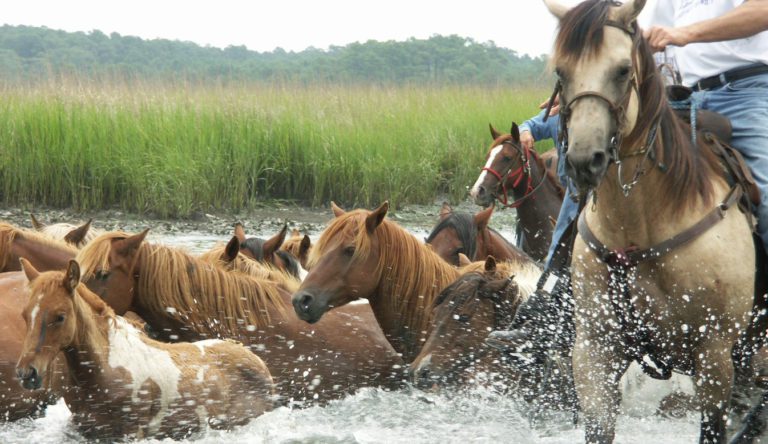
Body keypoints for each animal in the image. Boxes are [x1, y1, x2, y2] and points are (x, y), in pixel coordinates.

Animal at [16, 259, 274, 440]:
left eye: (60, 316)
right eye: (25, 314)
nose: (27, 373)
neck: (105, 369)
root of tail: (260, 363)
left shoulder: (131, 432)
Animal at [544, 0, 760, 441]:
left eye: (623, 69)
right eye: (561, 71)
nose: (584, 160)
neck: (640, 227)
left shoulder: (714, 355)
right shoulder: (595, 350)